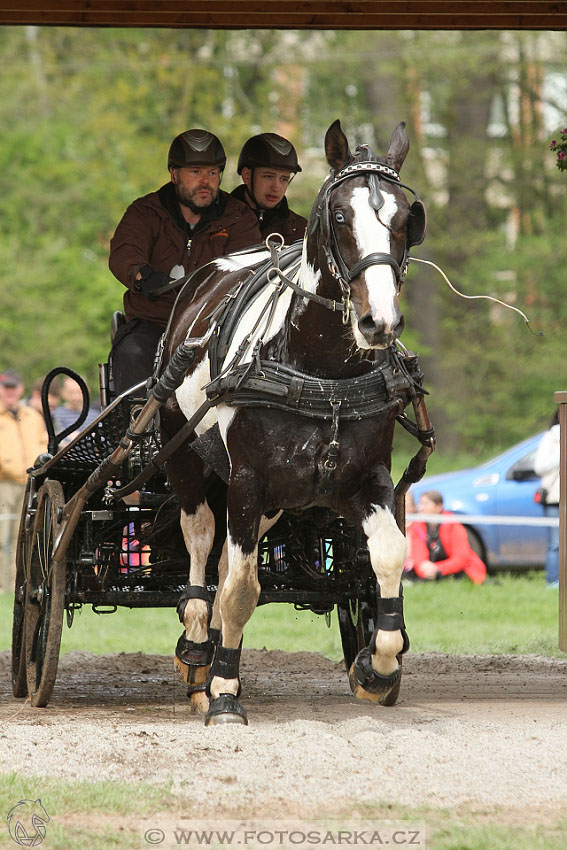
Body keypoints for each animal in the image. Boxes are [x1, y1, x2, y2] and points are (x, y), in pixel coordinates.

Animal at [158, 117, 428, 724]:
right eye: (340, 216)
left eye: (406, 218)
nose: (380, 322)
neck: (321, 371)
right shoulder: (247, 480)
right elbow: (240, 589)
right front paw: (225, 692)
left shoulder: (366, 480)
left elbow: (389, 554)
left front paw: (376, 668)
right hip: (186, 454)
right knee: (202, 542)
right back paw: (197, 650)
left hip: (270, 502)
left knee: (228, 559)